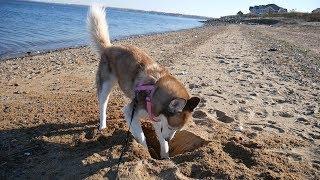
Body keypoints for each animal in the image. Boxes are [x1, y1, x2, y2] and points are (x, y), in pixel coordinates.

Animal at [87, 5, 200, 158]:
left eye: (178, 129)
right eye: (171, 126)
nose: (168, 138)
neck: (154, 90)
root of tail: (109, 47)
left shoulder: (157, 120)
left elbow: (161, 141)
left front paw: (165, 156)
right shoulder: (131, 112)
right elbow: (142, 137)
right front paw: (146, 152)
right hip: (105, 87)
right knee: (102, 105)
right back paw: (103, 125)